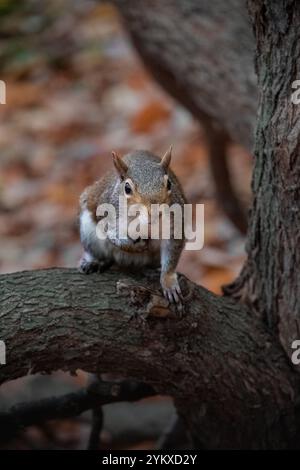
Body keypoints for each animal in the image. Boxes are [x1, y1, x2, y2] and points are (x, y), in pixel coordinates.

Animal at [78, 149, 186, 306]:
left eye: (169, 184)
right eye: (127, 188)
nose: (155, 212)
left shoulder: (175, 224)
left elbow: (171, 256)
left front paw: (169, 283)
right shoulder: (110, 219)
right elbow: (113, 236)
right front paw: (135, 246)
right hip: (89, 234)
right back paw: (95, 262)